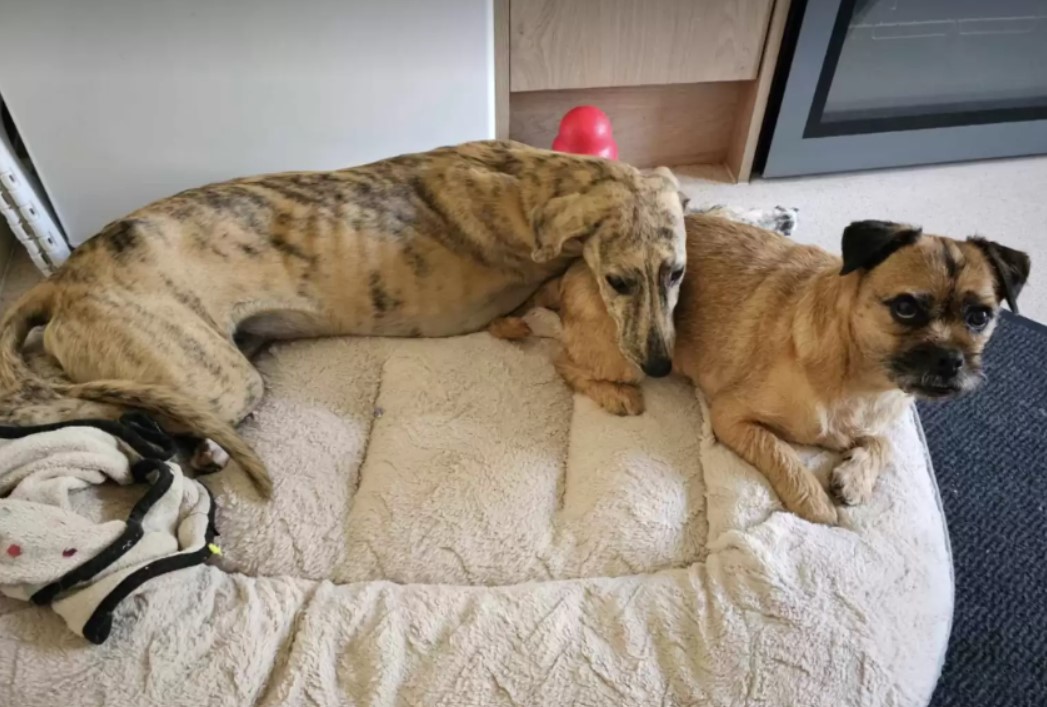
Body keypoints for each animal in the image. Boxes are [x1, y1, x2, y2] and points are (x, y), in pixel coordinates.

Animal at [492, 212, 1030, 523]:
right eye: (905, 308)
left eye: (980, 316)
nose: (950, 360)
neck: (859, 377)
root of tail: (573, 269)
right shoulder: (733, 418)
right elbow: (782, 453)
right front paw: (814, 502)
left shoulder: (874, 424)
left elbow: (881, 443)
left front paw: (856, 477)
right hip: (631, 355)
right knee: (564, 361)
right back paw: (614, 393)